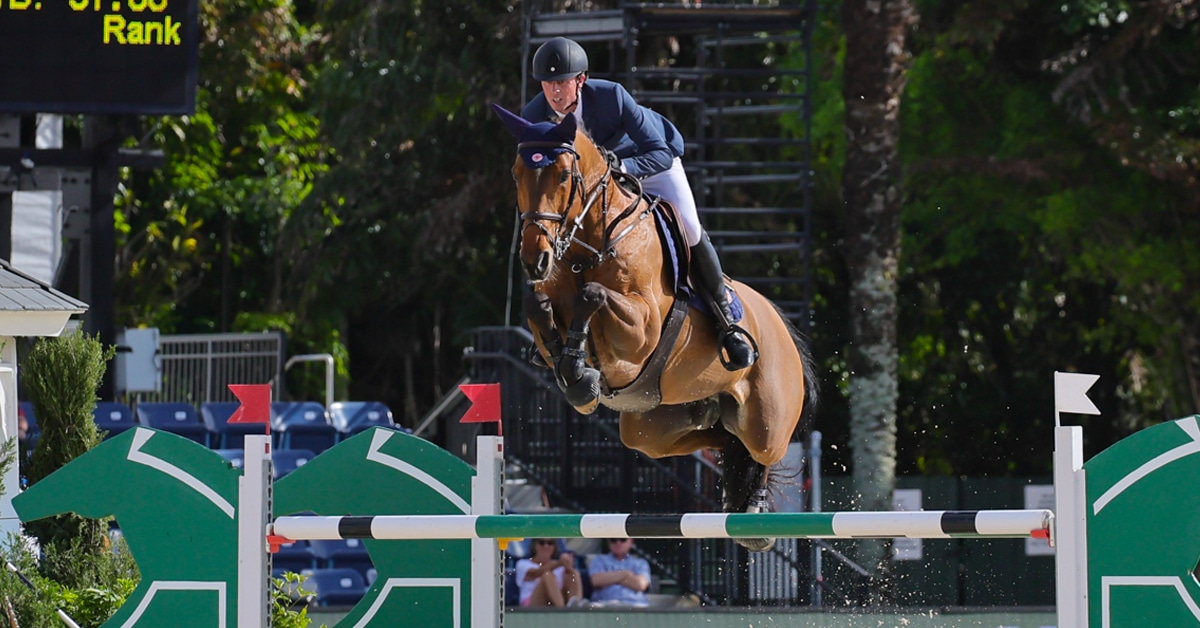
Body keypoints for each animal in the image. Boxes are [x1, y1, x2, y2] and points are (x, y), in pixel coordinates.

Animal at [493, 103, 819, 551]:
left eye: (562, 175)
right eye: (515, 174)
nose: (534, 260)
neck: (590, 245)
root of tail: (780, 323)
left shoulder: (642, 330)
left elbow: (593, 295)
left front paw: (579, 371)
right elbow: (537, 306)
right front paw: (576, 375)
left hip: (766, 422)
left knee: (763, 451)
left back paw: (755, 513)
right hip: (651, 429)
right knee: (720, 437)